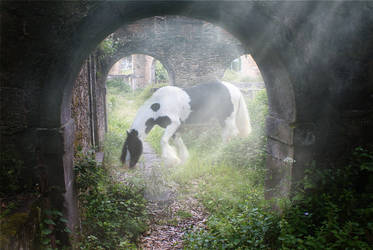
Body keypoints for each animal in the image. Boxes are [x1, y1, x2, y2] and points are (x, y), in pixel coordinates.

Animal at [120, 81, 251, 168]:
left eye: (130, 145)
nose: (128, 165)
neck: (157, 106)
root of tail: (235, 89)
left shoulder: (173, 123)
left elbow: (163, 141)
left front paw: (171, 160)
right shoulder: (176, 128)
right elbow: (178, 142)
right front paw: (182, 161)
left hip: (228, 119)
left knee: (231, 135)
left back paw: (219, 155)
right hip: (222, 120)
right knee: (226, 135)